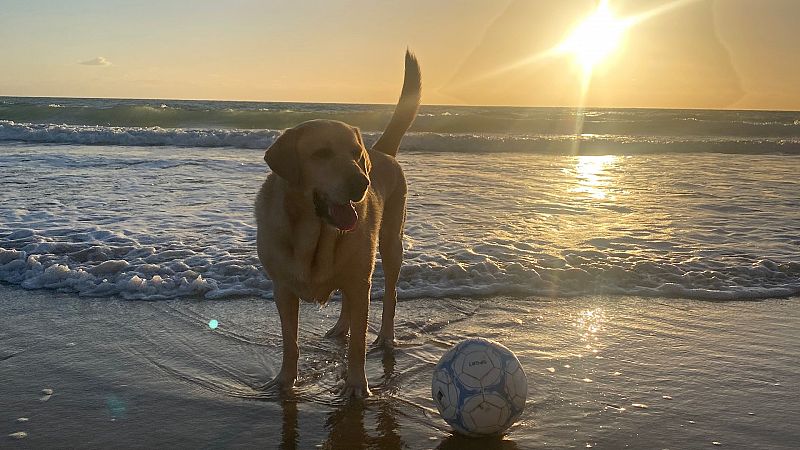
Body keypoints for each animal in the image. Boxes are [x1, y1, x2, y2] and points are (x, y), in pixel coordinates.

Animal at [256, 51, 422, 398]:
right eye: (321, 153)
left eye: (356, 153)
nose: (363, 182)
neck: (314, 232)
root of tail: (381, 150)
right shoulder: (283, 289)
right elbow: (290, 343)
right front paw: (284, 381)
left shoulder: (361, 282)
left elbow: (358, 344)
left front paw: (357, 385)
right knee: (347, 302)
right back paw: (339, 328)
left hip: (391, 245)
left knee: (389, 297)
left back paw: (385, 338)